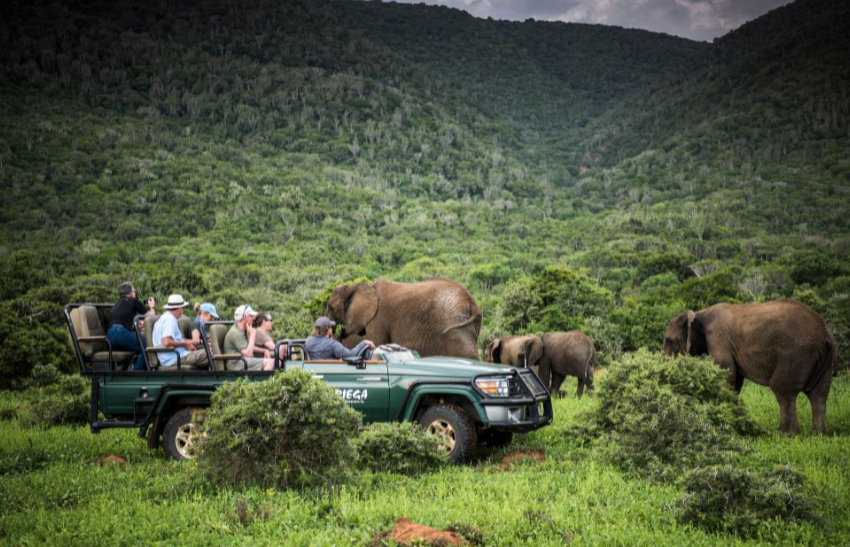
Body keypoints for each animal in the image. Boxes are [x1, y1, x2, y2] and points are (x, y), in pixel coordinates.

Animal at [324, 278, 480, 360]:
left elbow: (377, 342)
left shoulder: (378, 318)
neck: (355, 287)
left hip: (455, 327)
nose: (339, 331)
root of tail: (470, 301)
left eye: (330, 307)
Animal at [660, 300, 832, 436]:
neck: (698, 313)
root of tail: (825, 332)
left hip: (796, 354)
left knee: (783, 390)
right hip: (821, 358)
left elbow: (727, 375)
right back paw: (818, 434)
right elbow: (735, 381)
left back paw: (785, 434)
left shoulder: (717, 339)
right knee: (819, 395)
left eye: (669, 340)